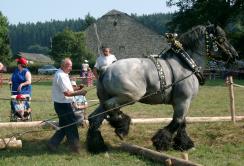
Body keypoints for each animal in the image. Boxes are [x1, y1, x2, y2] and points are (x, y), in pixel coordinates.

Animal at [86, 24, 238, 153]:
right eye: (222, 39)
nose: (235, 56)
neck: (186, 64)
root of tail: (106, 69)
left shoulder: (182, 102)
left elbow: (182, 122)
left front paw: (184, 144)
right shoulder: (183, 101)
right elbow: (177, 121)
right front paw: (160, 142)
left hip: (105, 99)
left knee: (95, 118)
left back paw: (97, 146)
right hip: (130, 96)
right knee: (110, 107)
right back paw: (122, 126)